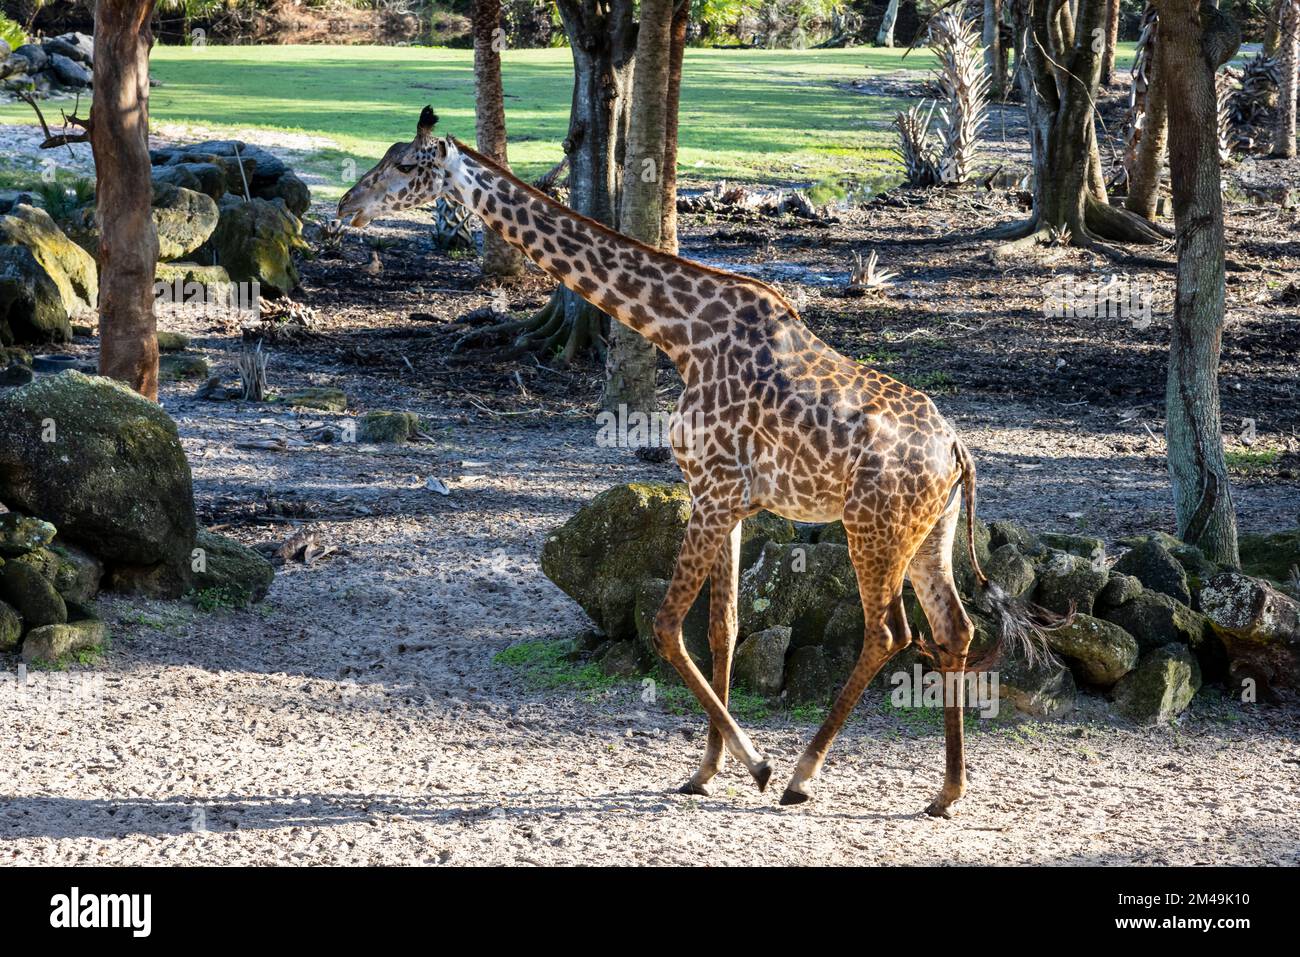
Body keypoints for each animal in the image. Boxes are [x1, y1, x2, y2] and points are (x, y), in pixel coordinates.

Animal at [335, 110, 1045, 816]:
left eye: (405, 165)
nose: (345, 205)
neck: (680, 334)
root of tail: (956, 451)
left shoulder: (712, 491)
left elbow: (669, 625)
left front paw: (755, 765)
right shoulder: (728, 500)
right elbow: (724, 628)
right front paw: (706, 770)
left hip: (872, 528)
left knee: (890, 633)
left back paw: (802, 775)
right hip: (929, 532)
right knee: (953, 630)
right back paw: (946, 791)